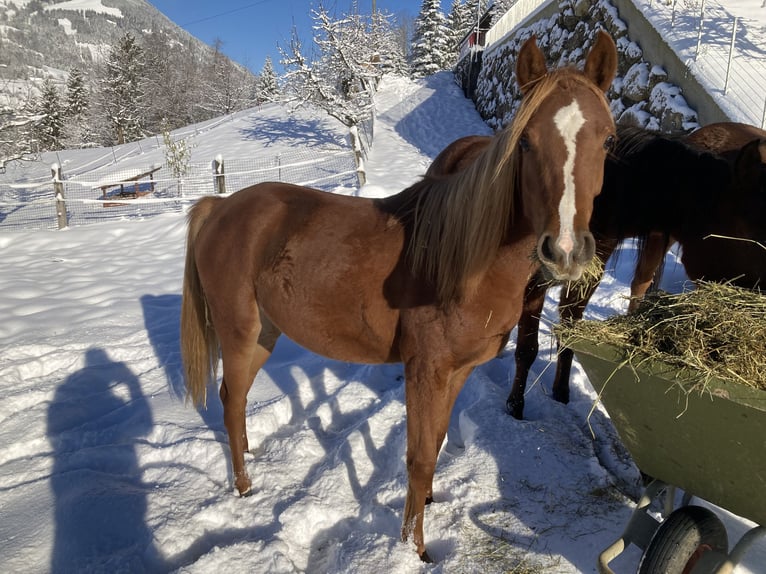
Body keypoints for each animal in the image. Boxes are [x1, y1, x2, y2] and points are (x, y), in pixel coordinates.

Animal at [178, 31, 616, 564]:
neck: (464, 258)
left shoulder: (458, 370)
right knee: (230, 397)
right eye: (526, 141)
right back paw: (244, 487)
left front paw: (426, 507)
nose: (566, 250)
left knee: (237, 400)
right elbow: (420, 456)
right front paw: (414, 547)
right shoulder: (425, 370)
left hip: (266, 333)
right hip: (240, 332)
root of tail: (220, 206)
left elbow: (439, 441)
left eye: (608, 139)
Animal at [426, 124, 766, 420]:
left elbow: (569, 340)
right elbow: (527, 349)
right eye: (752, 238)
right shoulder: (533, 288)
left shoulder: (584, 283)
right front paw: (515, 409)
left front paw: (561, 395)